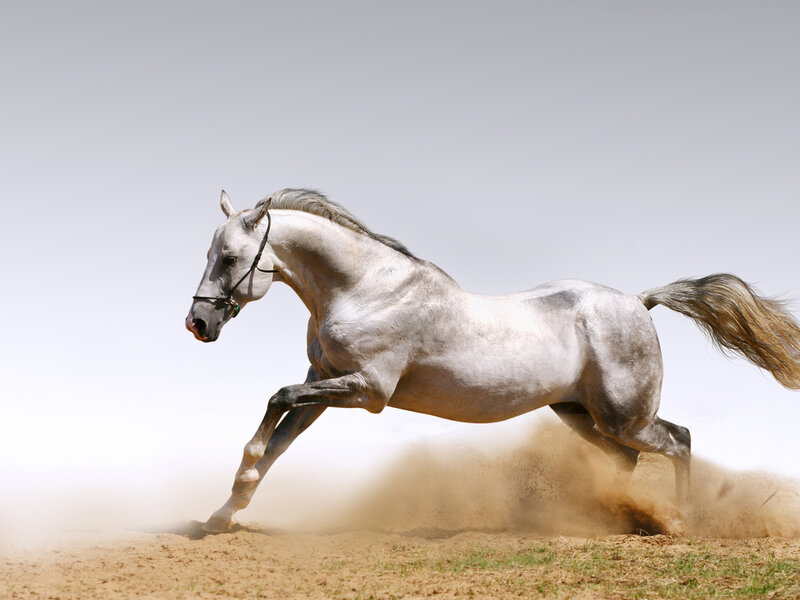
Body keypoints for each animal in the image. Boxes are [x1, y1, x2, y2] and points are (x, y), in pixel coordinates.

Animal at [186, 189, 800, 533]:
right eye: (210, 253)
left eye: (231, 258)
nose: (198, 324)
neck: (364, 289)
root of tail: (639, 301)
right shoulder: (327, 382)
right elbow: (278, 441)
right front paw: (222, 514)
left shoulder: (367, 390)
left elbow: (276, 401)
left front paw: (232, 495)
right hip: (580, 414)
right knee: (628, 459)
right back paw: (617, 518)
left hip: (626, 416)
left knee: (680, 440)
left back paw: (680, 521)